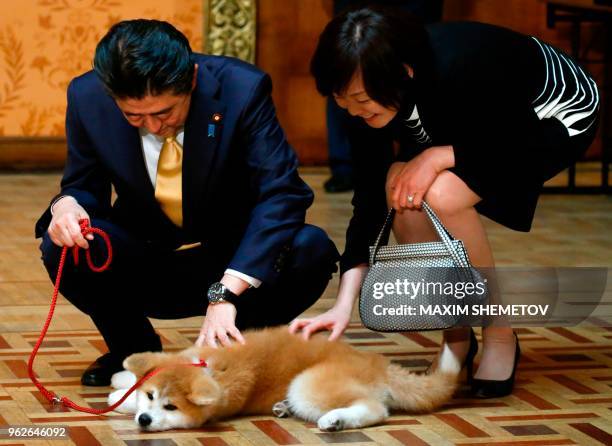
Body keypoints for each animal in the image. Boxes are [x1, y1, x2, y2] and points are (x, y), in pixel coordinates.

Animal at [109, 326, 460, 430]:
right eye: (152, 396)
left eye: (171, 408)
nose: (144, 420)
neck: (206, 365)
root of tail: (379, 362)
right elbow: (135, 379)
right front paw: (123, 379)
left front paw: (118, 399)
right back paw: (283, 409)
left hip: (306, 385)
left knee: (376, 409)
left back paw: (335, 420)